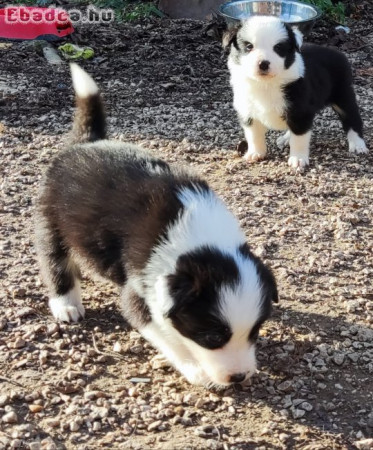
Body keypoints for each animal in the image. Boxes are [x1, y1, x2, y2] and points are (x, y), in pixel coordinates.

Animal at [35, 63, 278, 386]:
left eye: (255, 331)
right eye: (212, 337)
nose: (239, 377)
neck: (202, 243)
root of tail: (87, 142)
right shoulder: (141, 292)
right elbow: (169, 338)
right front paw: (196, 370)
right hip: (52, 223)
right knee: (56, 263)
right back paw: (66, 305)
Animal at [222, 15, 368, 169]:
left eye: (278, 48)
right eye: (249, 46)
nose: (263, 64)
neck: (266, 84)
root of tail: (338, 53)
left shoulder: (300, 110)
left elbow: (299, 138)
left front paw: (298, 159)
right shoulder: (248, 109)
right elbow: (254, 134)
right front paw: (255, 153)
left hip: (343, 94)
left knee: (352, 118)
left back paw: (358, 145)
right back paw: (286, 138)